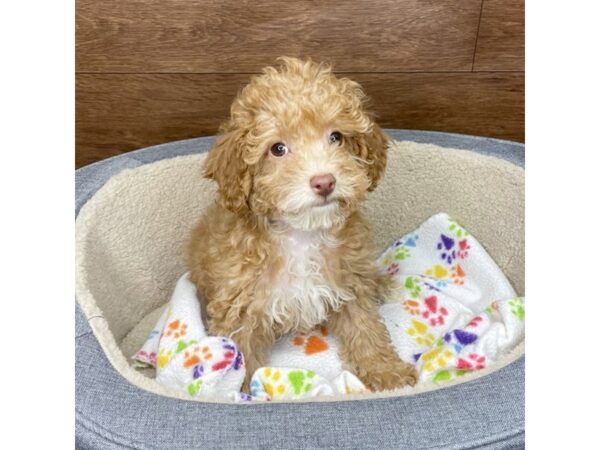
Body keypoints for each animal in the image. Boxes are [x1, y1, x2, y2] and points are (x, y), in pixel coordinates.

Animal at [188, 58, 418, 392]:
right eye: (278, 149)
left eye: (336, 137)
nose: (325, 181)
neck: (302, 232)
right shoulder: (240, 306)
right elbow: (240, 352)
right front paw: (237, 392)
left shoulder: (349, 283)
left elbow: (366, 329)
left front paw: (387, 371)